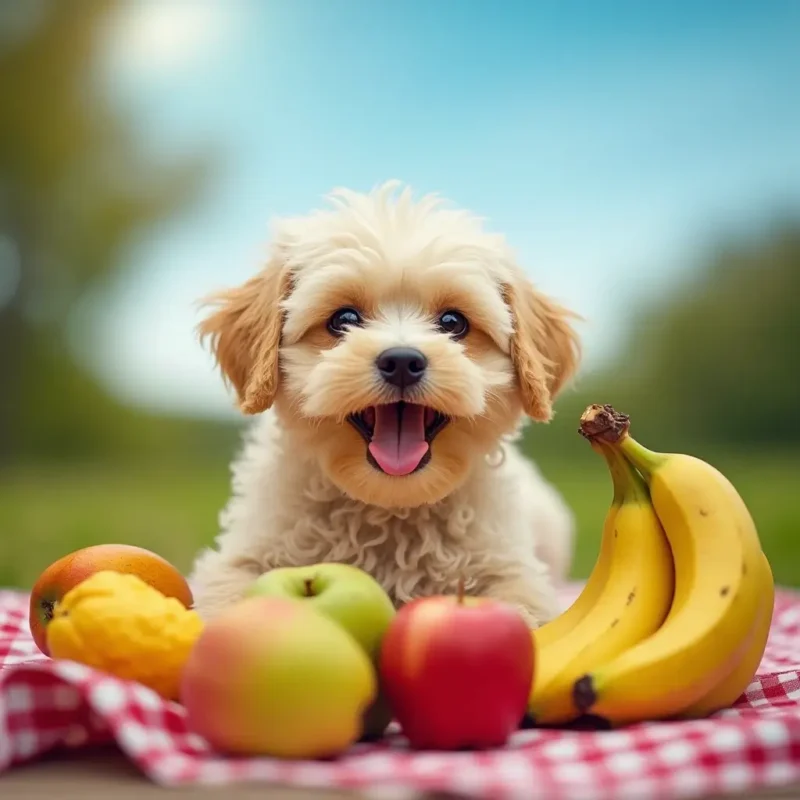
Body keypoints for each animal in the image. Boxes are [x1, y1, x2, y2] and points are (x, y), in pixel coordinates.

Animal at [188, 181, 580, 624]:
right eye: (343, 319)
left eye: (453, 323)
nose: (403, 361)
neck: (390, 506)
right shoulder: (239, 558)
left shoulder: (513, 570)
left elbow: (520, 609)